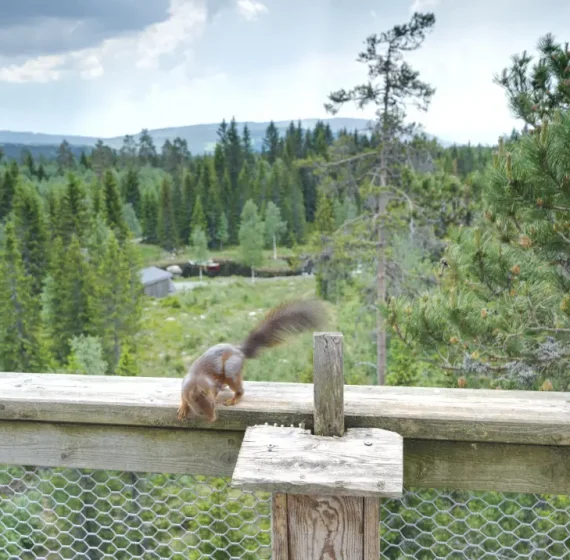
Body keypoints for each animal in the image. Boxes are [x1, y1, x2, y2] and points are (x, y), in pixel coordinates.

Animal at [178, 300, 324, 422]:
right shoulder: (185, 387)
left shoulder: (212, 385)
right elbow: (184, 399)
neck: (196, 382)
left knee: (240, 390)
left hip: (231, 370)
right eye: (200, 412)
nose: (213, 419)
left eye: (213, 405)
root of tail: (239, 351)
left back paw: (233, 399)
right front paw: (183, 408)